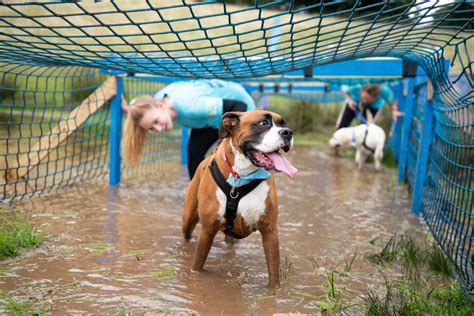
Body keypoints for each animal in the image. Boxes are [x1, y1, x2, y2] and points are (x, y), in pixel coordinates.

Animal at [181, 109, 296, 288]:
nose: (288, 132)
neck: (242, 176)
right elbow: (197, 265)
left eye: (283, 124)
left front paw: (273, 292)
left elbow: (273, 272)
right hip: (188, 220)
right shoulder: (207, 230)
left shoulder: (270, 231)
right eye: (263, 123)